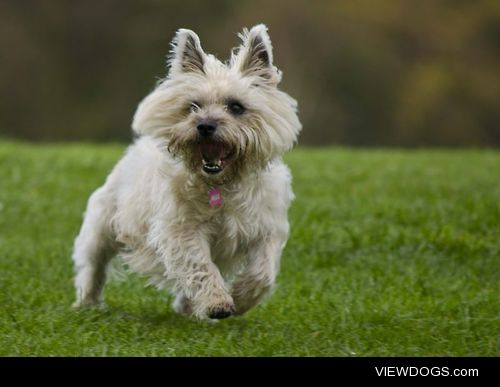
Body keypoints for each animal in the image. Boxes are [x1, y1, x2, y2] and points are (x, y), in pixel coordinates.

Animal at [73, 25, 302, 322]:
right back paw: (87, 302)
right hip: (104, 222)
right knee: (94, 263)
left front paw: (241, 299)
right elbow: (200, 265)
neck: (221, 184)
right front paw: (217, 302)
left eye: (236, 107)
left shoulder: (266, 228)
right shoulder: (182, 230)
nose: (204, 126)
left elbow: (262, 273)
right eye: (193, 106)